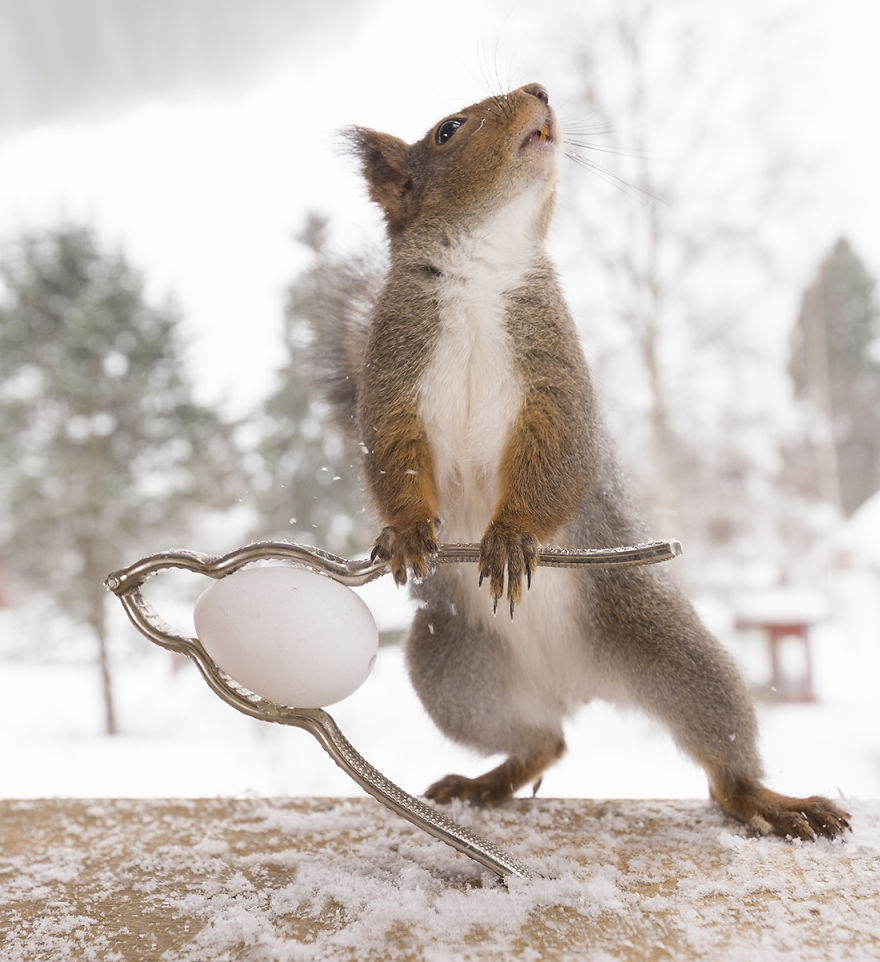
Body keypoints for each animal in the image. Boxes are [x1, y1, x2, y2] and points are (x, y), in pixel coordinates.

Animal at [321, 83, 850, 840]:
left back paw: (769, 802)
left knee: (721, 757)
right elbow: (393, 455)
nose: (538, 91)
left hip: (670, 649)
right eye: (448, 130)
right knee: (544, 741)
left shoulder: (556, 370)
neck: (483, 265)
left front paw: (513, 535)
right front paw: (408, 531)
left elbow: (558, 454)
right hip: (453, 672)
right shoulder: (393, 372)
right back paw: (485, 781)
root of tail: (581, 685)